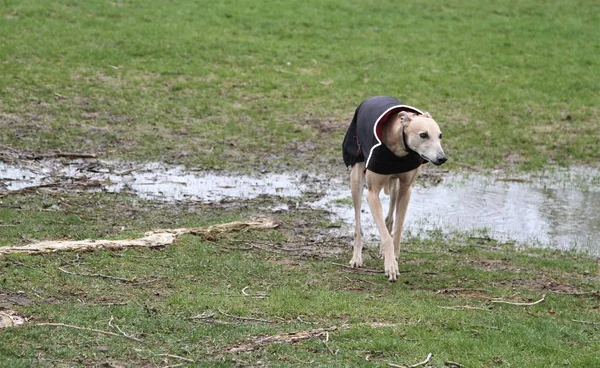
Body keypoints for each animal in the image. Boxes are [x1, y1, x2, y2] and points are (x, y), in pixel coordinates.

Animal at [342, 95, 446, 282]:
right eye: (423, 135)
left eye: (440, 135)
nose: (442, 158)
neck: (399, 147)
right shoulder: (372, 194)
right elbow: (385, 235)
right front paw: (390, 266)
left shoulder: (406, 189)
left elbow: (396, 230)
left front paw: (393, 257)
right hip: (356, 179)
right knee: (358, 225)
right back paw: (357, 257)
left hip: (395, 185)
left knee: (389, 218)